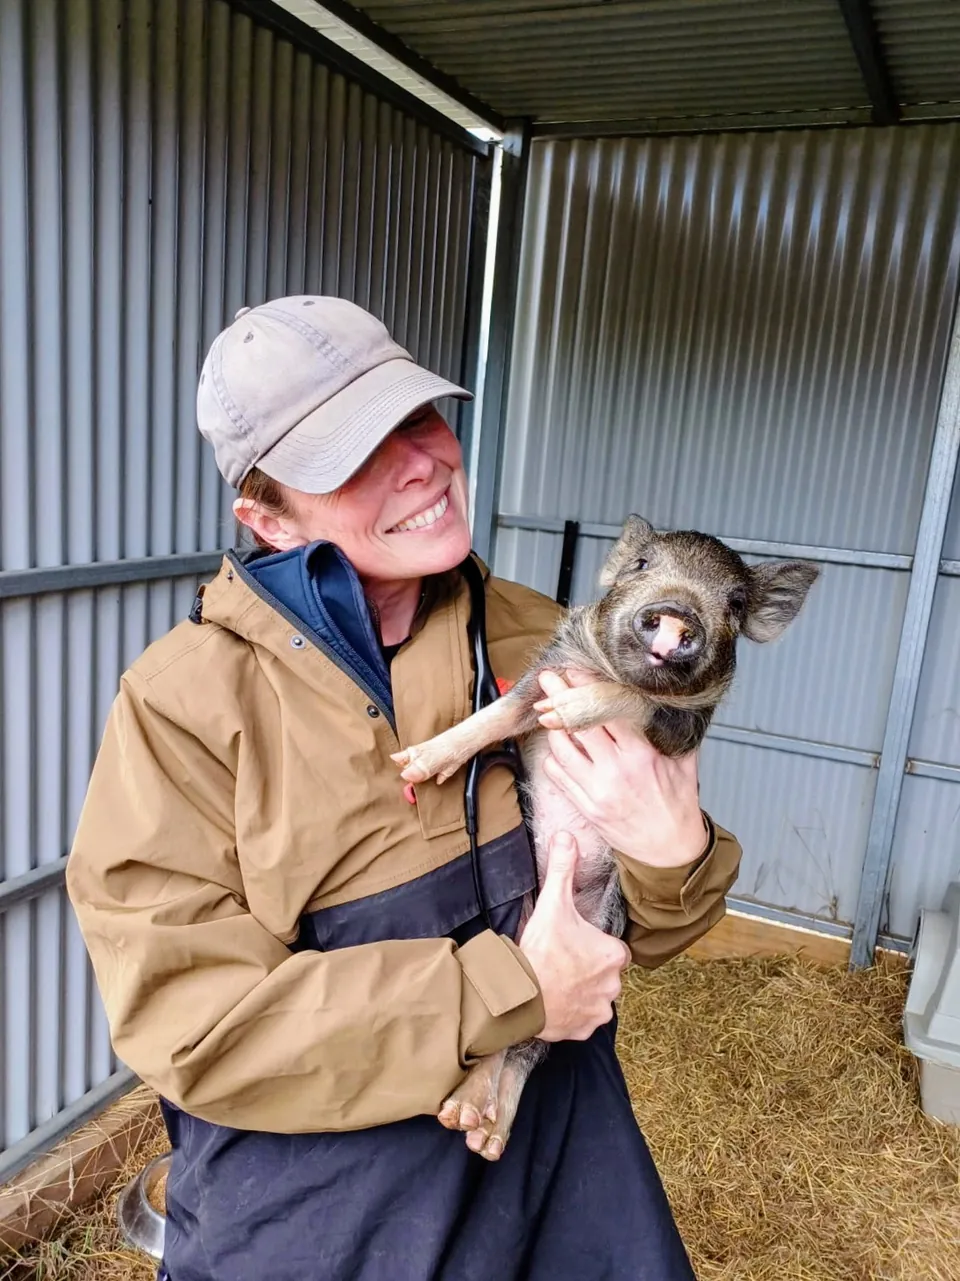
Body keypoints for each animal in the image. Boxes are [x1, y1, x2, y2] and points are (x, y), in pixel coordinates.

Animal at [391, 514, 819, 1161]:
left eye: (736, 604)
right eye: (642, 565)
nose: (676, 612)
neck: (605, 669)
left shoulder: (682, 729)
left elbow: (637, 698)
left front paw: (573, 711)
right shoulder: (541, 675)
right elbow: (493, 717)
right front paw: (410, 768)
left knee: (530, 1045)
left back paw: (479, 1132)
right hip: (518, 927)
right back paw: (466, 1120)